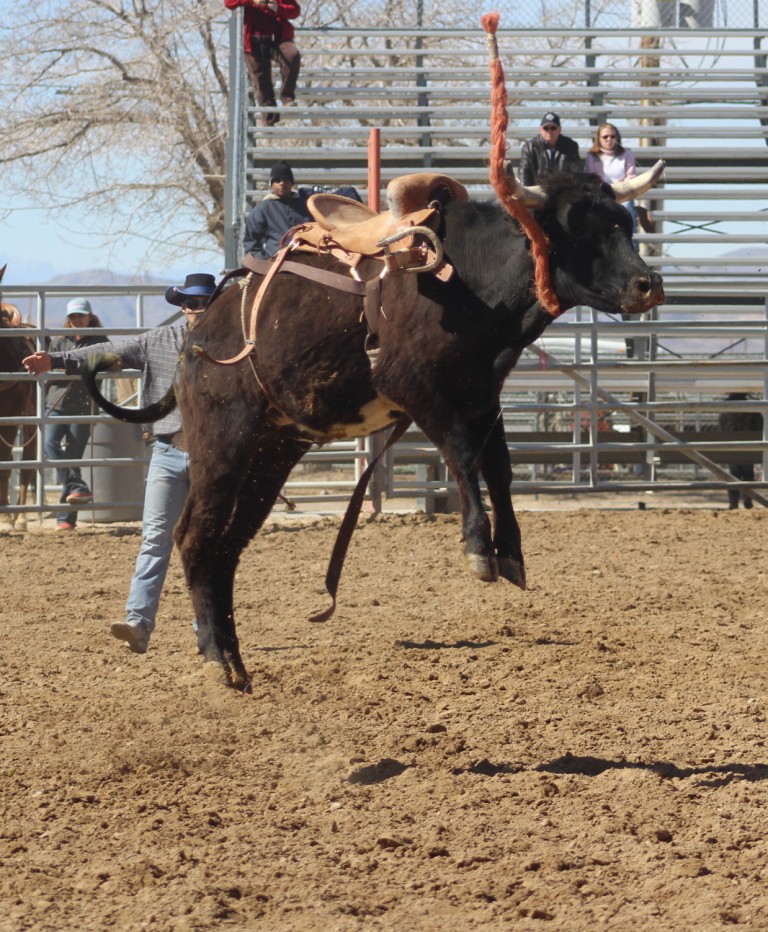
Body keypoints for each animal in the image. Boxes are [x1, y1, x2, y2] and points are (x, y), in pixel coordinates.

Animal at [84, 164, 664, 690]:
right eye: (579, 227)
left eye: (623, 222)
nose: (649, 283)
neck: (467, 282)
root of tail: (197, 332)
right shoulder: (414, 387)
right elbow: (463, 454)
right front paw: (479, 549)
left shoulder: (483, 396)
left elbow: (499, 468)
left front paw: (512, 552)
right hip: (223, 439)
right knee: (195, 537)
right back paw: (216, 659)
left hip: (270, 454)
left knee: (225, 547)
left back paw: (234, 662)